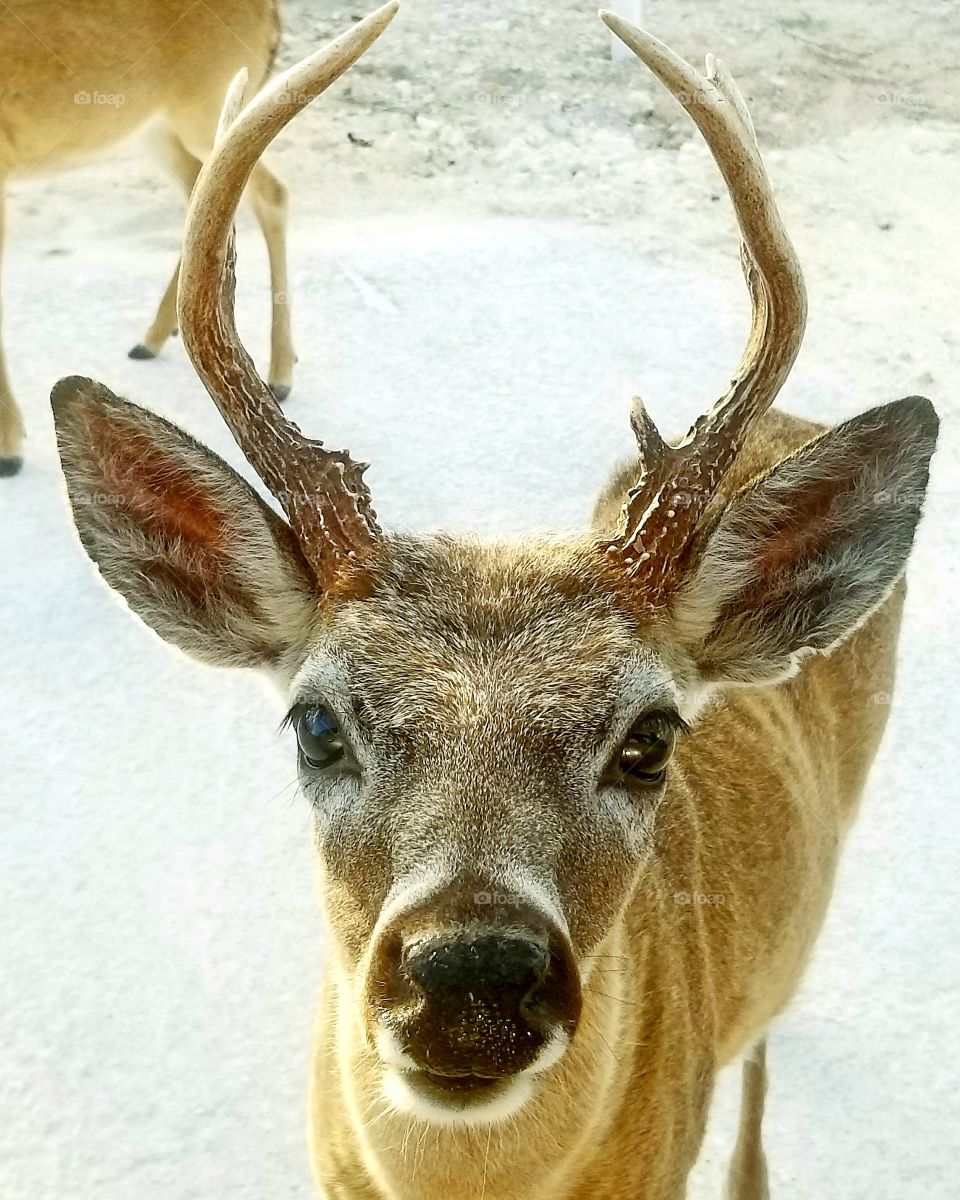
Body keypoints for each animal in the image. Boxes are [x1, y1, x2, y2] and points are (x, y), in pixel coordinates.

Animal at [0, 0, 293, 478]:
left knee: (271, 194)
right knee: (203, 195)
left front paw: (10, 448)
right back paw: (152, 338)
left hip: (205, 109)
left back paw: (281, 374)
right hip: (157, 128)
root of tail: (271, 13)